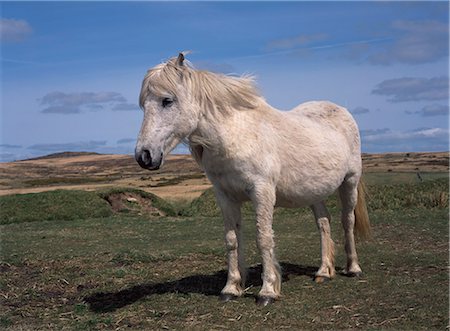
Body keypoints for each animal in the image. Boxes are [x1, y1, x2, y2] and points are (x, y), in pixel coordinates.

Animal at [134, 53, 370, 308]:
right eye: (143, 105)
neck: (235, 137)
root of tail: (340, 110)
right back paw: (324, 271)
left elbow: (263, 238)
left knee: (347, 221)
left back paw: (353, 268)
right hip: (314, 193)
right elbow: (232, 239)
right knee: (324, 223)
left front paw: (267, 291)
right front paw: (231, 287)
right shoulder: (225, 196)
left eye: (167, 101)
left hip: (349, 182)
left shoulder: (262, 192)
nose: (144, 156)